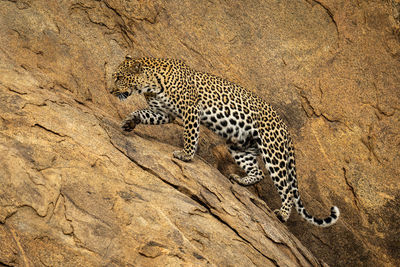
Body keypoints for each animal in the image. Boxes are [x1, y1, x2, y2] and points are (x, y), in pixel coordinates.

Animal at [110, 55, 340, 227]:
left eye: (119, 77)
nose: (111, 91)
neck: (151, 84)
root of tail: (286, 130)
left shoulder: (190, 109)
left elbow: (190, 135)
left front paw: (186, 155)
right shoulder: (164, 113)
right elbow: (141, 112)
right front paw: (129, 122)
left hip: (273, 152)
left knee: (286, 189)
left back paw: (282, 214)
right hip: (239, 145)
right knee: (258, 173)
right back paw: (240, 180)